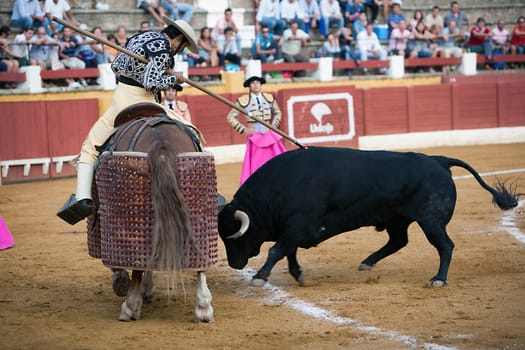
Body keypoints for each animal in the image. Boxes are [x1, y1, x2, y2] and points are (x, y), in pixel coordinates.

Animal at [87, 102, 217, 322]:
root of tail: (160, 140)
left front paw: (124, 283)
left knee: (139, 262)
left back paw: (130, 306)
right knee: (199, 259)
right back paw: (203, 308)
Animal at [217, 147, 520, 288]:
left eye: (234, 238)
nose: (234, 265)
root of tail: (439, 160)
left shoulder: (296, 226)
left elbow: (276, 251)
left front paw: (259, 277)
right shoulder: (294, 229)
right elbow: (287, 252)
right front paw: (299, 275)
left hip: (431, 221)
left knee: (445, 246)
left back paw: (438, 279)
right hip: (397, 219)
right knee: (398, 241)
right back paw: (367, 263)